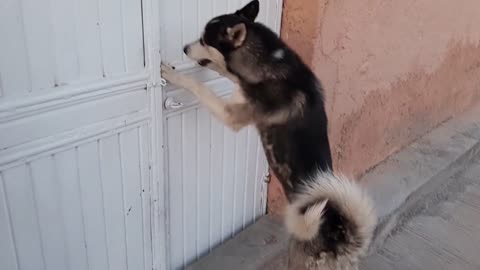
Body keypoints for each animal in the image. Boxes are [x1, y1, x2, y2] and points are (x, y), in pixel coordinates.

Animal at [163, 1, 376, 268]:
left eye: (203, 40)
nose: (184, 48)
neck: (268, 62)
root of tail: (340, 242)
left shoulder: (231, 114)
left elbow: (200, 87)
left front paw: (173, 74)